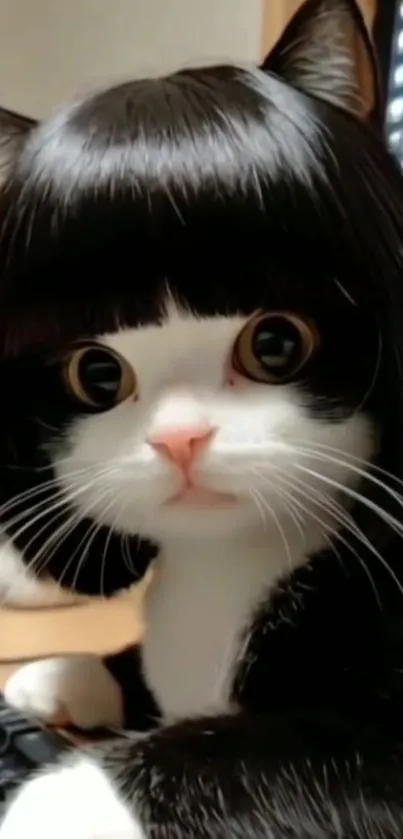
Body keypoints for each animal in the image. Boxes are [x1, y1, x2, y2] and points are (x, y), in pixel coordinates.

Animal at [0, 0, 403, 836]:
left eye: (275, 342)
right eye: (96, 372)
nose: (179, 437)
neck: (223, 561)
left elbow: (276, 747)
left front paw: (59, 794)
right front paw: (73, 672)